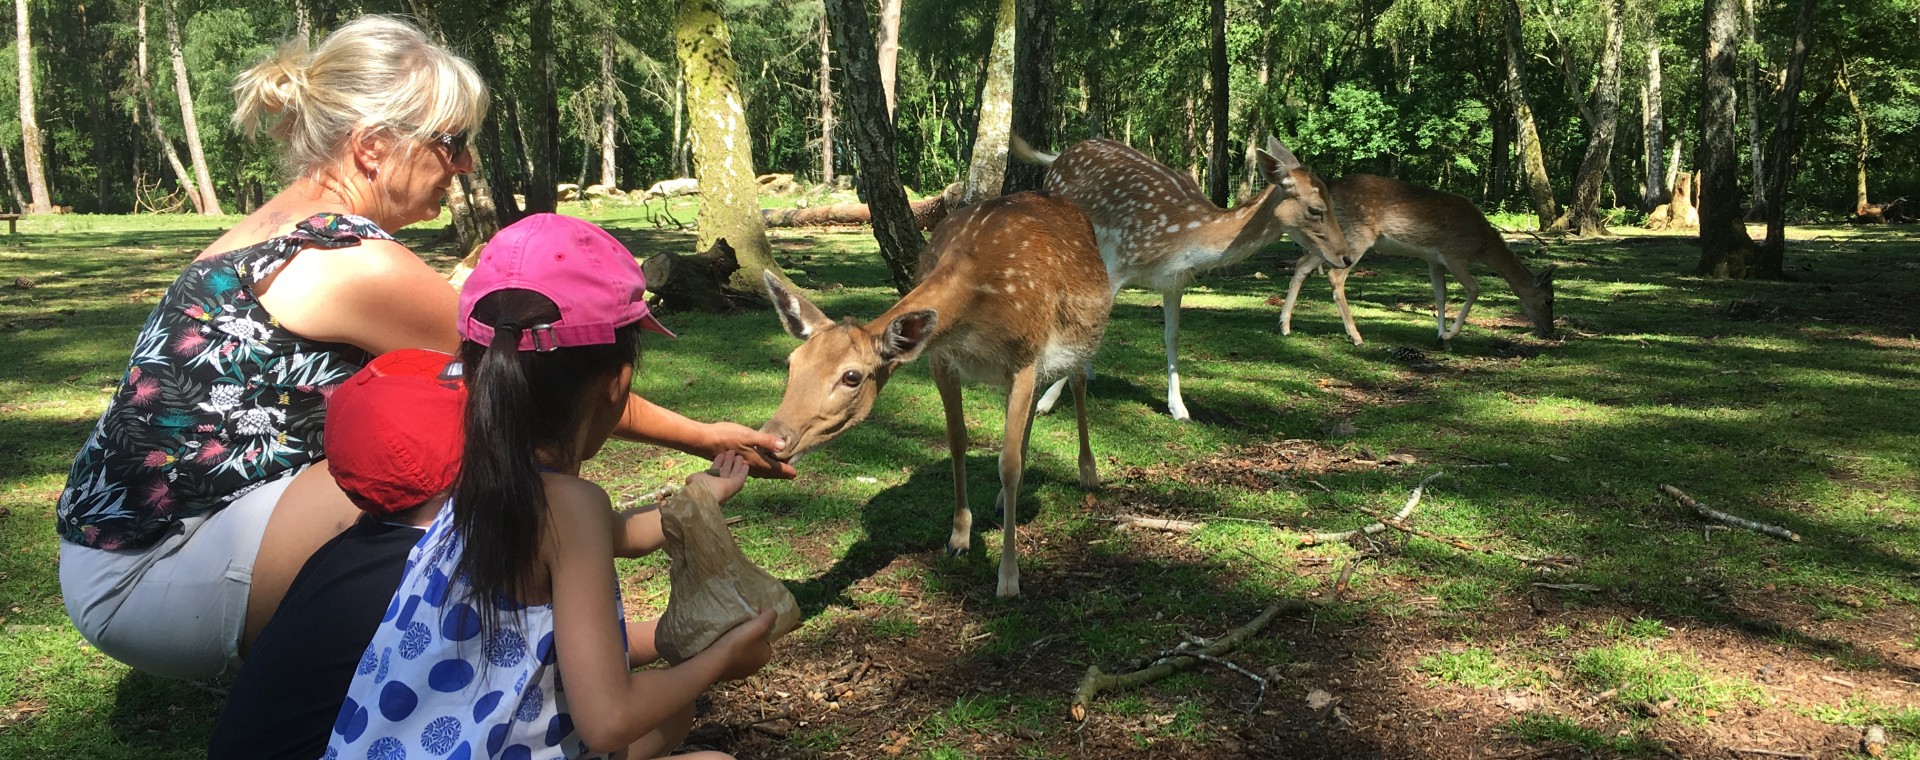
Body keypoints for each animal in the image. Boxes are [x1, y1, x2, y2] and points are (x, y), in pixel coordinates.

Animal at [752, 191, 1113, 598]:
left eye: (851, 376)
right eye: (792, 363)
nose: (772, 440)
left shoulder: (1025, 354)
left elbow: (1007, 464)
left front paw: (1008, 578)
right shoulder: (941, 358)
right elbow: (957, 441)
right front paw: (959, 538)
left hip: (1080, 337)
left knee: (1079, 379)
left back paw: (1088, 473)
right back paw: (1006, 500)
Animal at [1013, 136, 1359, 422]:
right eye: (1316, 209)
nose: (1346, 257)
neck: (1182, 236)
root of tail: (1058, 157)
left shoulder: (1174, 281)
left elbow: (1172, 336)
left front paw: (1179, 408)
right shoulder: (1119, 263)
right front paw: (1045, 402)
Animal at [1274, 175, 1559, 343]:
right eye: (1548, 299)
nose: (1550, 330)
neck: (1482, 245)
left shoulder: (1434, 260)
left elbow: (1440, 295)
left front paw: (1441, 333)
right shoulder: (1454, 253)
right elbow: (1474, 289)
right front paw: (1451, 334)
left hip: (1334, 240)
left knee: (1302, 265)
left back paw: (1285, 326)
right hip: (1357, 235)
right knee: (1335, 276)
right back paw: (1355, 335)